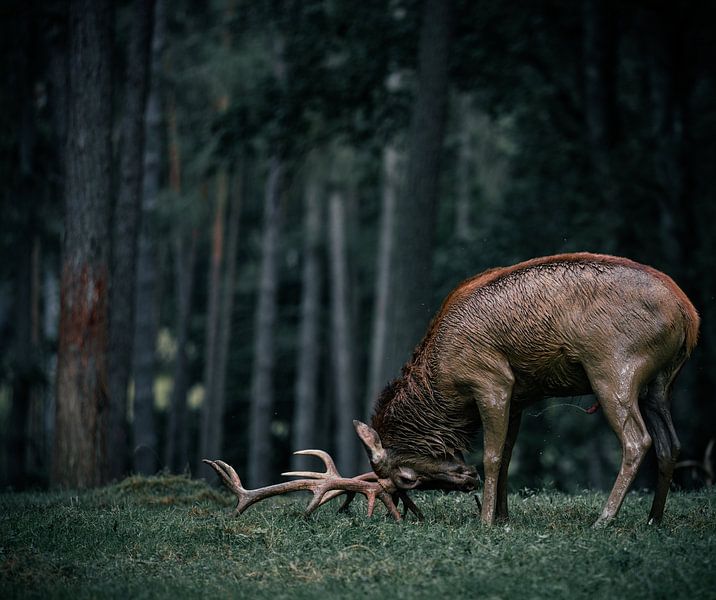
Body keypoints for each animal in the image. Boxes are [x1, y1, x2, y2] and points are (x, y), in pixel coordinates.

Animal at [206, 253, 698, 527]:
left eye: (405, 479)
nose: (465, 480)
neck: (442, 384)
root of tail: (689, 314)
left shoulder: (492, 379)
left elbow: (494, 454)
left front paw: (483, 521)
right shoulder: (521, 394)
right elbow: (511, 453)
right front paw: (502, 515)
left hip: (613, 366)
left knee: (637, 441)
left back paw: (605, 519)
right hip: (661, 382)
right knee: (671, 444)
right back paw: (653, 520)